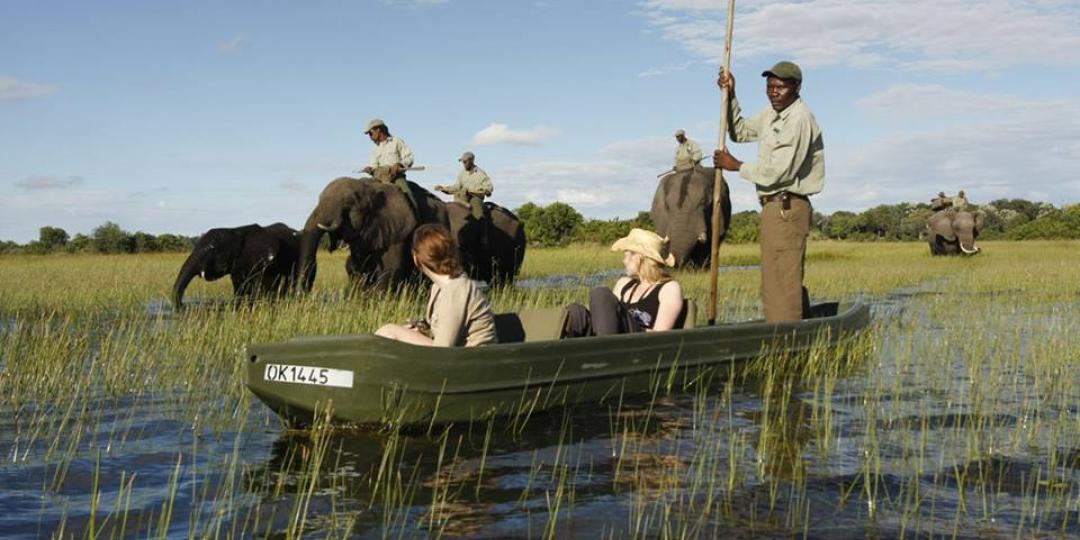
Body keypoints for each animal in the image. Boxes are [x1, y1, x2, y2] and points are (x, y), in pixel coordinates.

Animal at [300, 177, 527, 289]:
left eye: (348, 204)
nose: (303, 290)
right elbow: (355, 267)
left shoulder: (400, 227)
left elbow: (390, 268)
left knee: (505, 277)